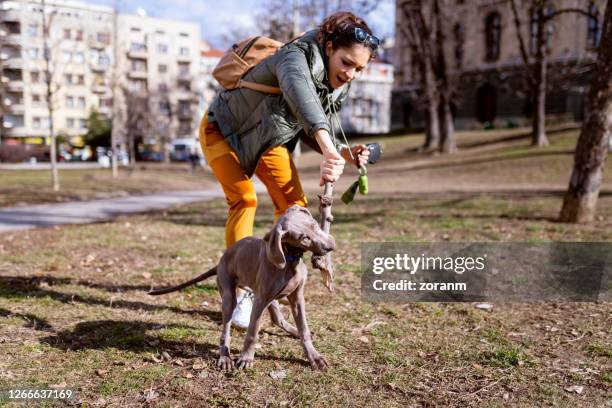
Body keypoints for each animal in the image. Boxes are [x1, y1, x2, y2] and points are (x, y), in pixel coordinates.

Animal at [151, 206, 338, 372]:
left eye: (315, 225)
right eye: (303, 238)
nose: (330, 246)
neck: (290, 260)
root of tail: (220, 260)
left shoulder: (297, 297)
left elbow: (304, 329)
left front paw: (314, 357)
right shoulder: (260, 300)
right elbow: (252, 331)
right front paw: (246, 358)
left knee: (277, 319)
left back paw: (293, 331)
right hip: (229, 296)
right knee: (225, 331)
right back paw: (225, 358)